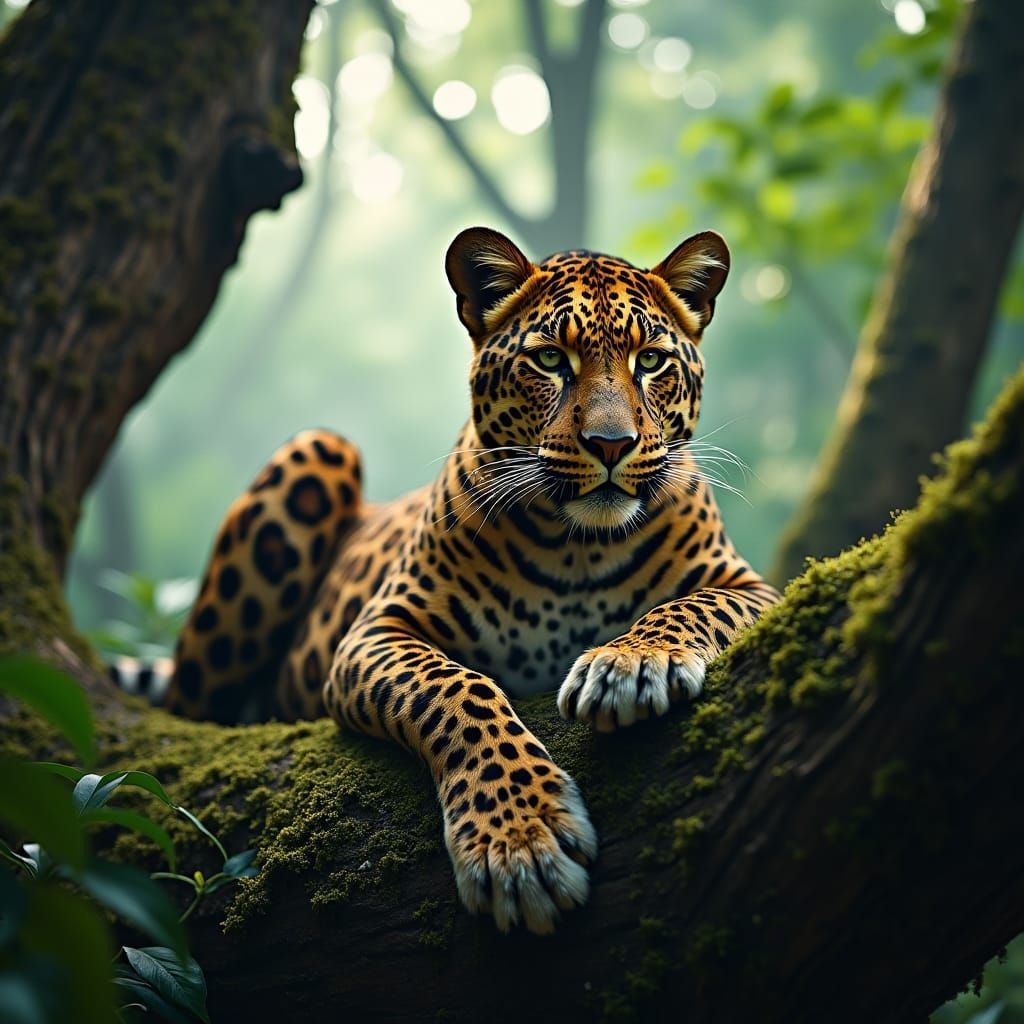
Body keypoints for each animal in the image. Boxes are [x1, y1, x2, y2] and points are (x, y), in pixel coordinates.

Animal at [122, 226, 780, 934]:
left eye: (652, 360)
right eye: (550, 359)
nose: (611, 443)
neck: (578, 550)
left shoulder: (751, 588)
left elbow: (689, 608)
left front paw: (629, 666)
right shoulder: (377, 630)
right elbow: (456, 691)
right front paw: (519, 842)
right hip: (319, 450)